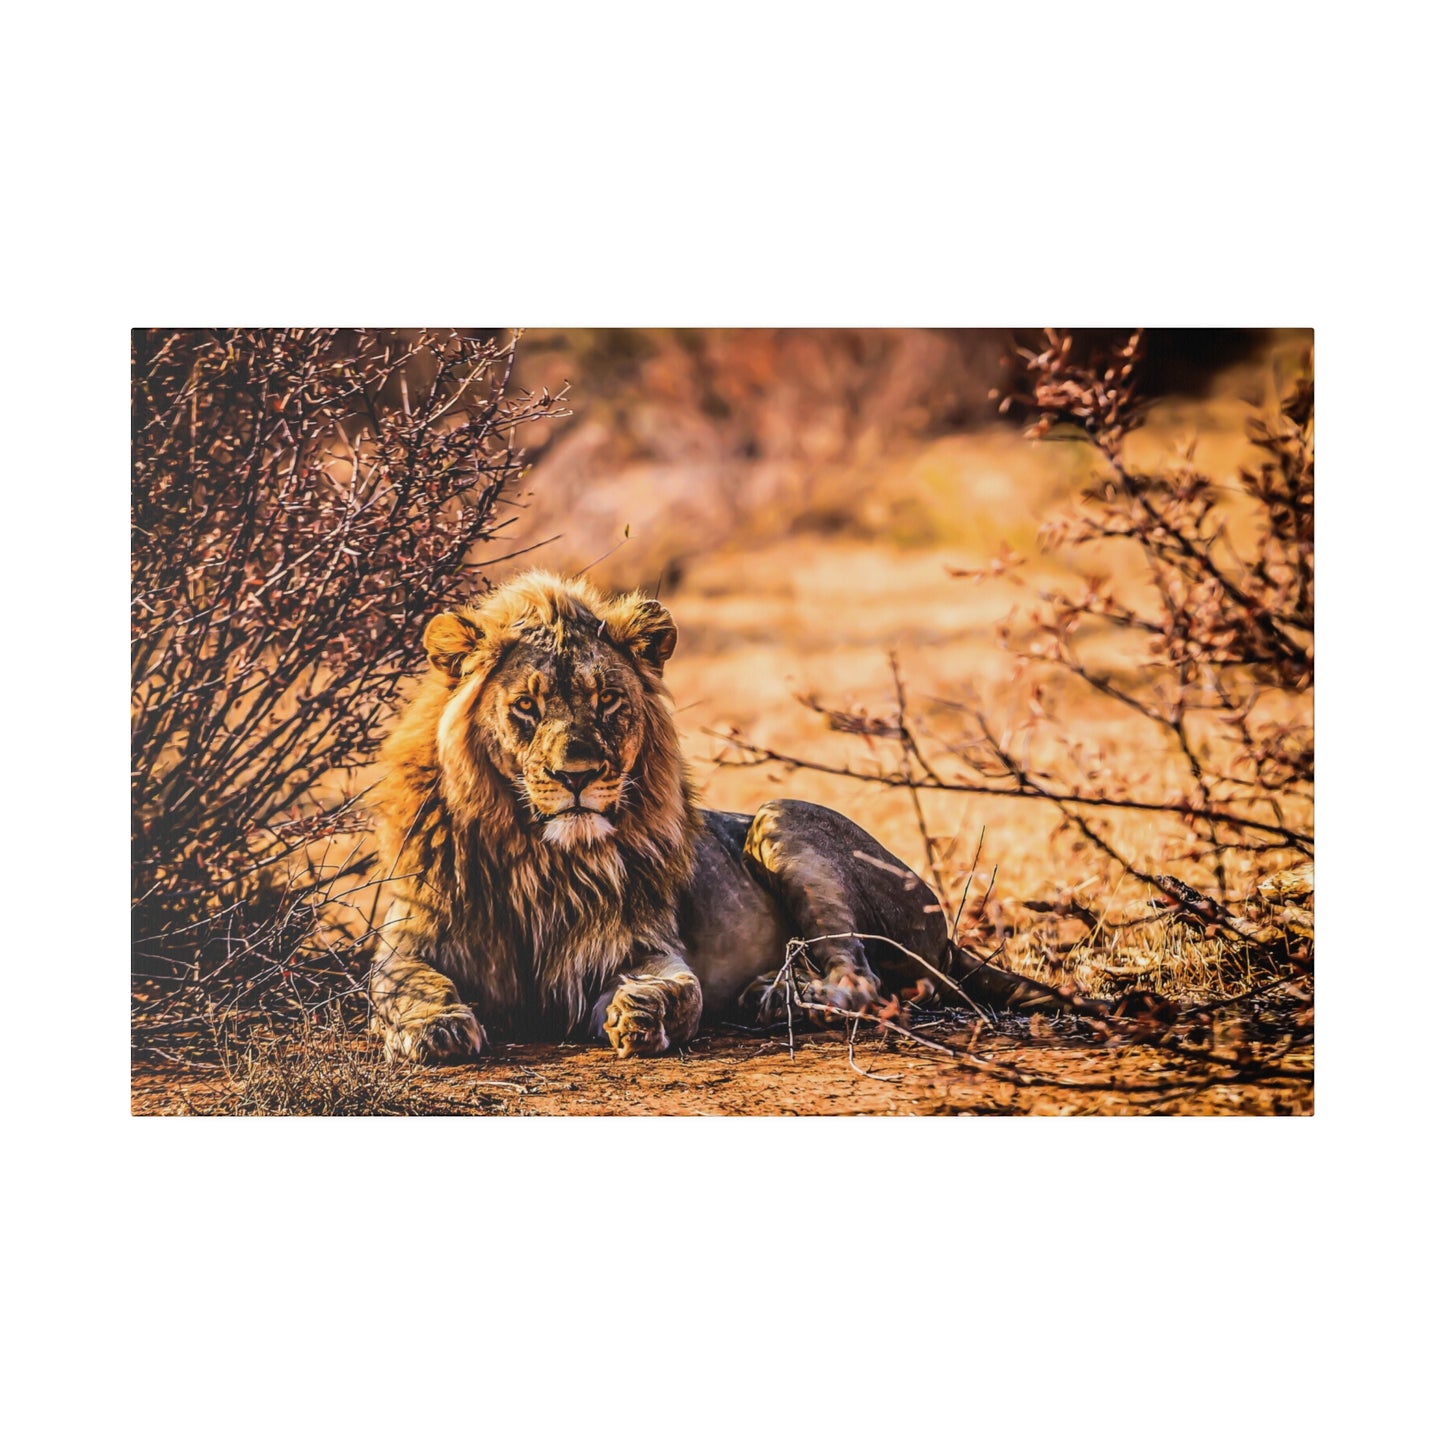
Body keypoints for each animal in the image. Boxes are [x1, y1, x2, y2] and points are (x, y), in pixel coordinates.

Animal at [367, 566, 1069, 1063]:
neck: (540, 857)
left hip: (781, 819)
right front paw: (436, 1028)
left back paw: (780, 998)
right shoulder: (408, 940)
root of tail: (947, 935)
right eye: (527, 707)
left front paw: (642, 1015)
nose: (578, 776)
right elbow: (406, 986)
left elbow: (684, 989)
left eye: (608, 701)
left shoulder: (643, 945)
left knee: (862, 981)